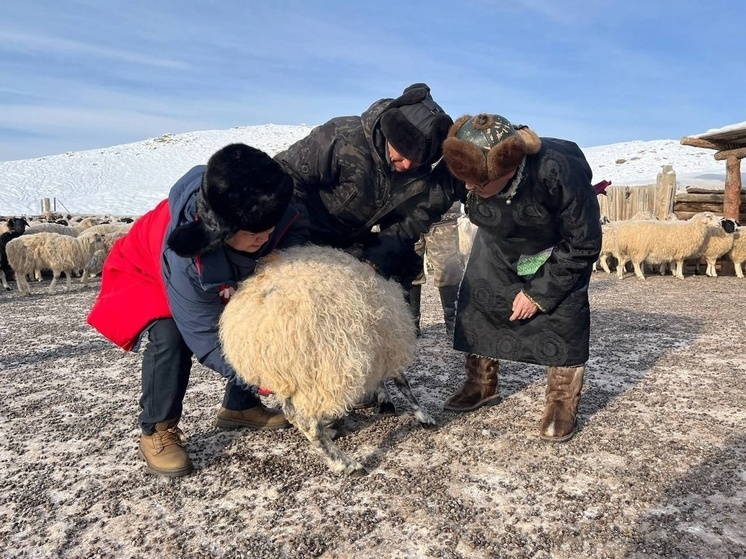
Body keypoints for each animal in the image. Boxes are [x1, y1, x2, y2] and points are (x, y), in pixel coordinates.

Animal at [218, 245, 434, 476]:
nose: (420, 267)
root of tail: (258, 318)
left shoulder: (377, 343)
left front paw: (384, 399)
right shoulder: (390, 342)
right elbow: (404, 384)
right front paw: (424, 416)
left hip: (292, 374)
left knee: (295, 415)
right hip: (323, 366)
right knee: (309, 425)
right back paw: (345, 463)